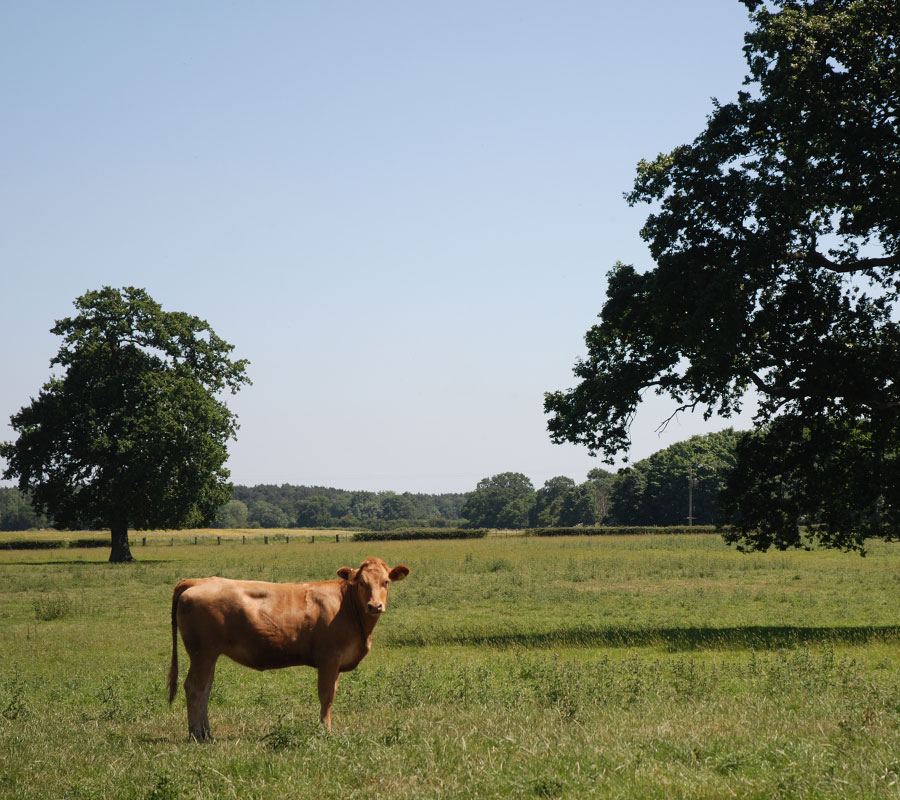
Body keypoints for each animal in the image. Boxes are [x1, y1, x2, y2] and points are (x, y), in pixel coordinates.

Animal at [167, 557, 410, 740]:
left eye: (386, 582)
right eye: (361, 583)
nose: (375, 606)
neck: (349, 608)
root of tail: (198, 581)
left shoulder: (337, 663)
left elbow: (332, 693)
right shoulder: (329, 658)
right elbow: (326, 695)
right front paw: (325, 731)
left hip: (209, 655)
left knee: (205, 688)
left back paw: (207, 732)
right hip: (202, 653)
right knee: (195, 688)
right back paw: (197, 734)